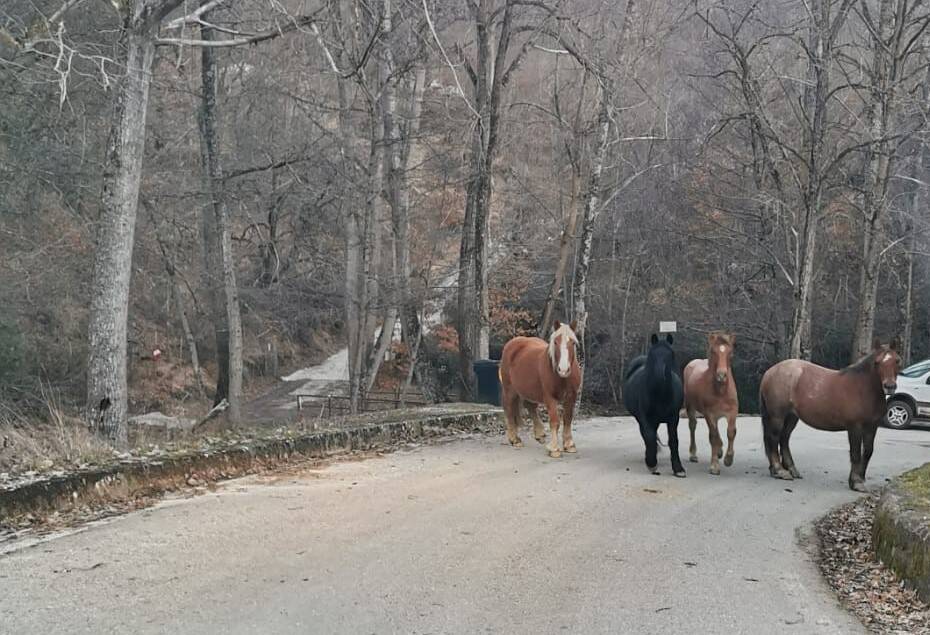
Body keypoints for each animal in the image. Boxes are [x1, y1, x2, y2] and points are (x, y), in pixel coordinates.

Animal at [499, 320, 582, 458]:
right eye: (555, 342)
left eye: (573, 343)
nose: (563, 370)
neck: (562, 378)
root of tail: (512, 343)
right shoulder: (550, 397)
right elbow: (555, 421)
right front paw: (554, 449)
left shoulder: (572, 396)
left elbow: (567, 419)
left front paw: (569, 445)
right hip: (509, 389)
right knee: (509, 409)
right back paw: (515, 439)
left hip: (528, 389)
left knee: (530, 406)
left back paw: (539, 434)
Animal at [623, 333, 686, 477]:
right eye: (653, 354)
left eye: (671, 354)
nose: (659, 376)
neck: (660, 395)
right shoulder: (645, 418)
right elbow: (649, 437)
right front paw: (652, 464)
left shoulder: (674, 418)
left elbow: (673, 440)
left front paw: (678, 468)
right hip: (641, 419)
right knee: (647, 436)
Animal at [684, 332, 738, 475]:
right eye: (713, 351)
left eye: (730, 352)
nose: (721, 375)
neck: (721, 391)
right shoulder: (709, 413)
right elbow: (713, 436)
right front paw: (714, 466)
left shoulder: (732, 412)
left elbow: (731, 432)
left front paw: (728, 459)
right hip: (690, 406)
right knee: (693, 425)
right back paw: (693, 454)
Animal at [759, 338, 901, 492]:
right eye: (877, 362)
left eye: (897, 360)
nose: (889, 386)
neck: (863, 389)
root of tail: (770, 372)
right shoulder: (855, 427)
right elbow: (855, 453)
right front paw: (856, 482)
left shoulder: (872, 426)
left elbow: (868, 451)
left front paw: (861, 478)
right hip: (777, 416)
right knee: (774, 438)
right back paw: (780, 471)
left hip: (791, 417)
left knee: (784, 439)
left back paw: (790, 469)